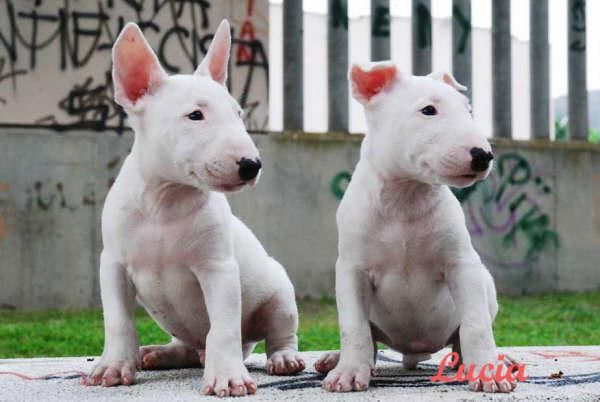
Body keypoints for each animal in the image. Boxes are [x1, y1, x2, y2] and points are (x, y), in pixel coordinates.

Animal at [84, 20, 304, 398]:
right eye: (195, 115)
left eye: (238, 114)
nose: (252, 165)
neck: (165, 201)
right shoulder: (112, 264)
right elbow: (118, 321)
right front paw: (112, 366)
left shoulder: (218, 268)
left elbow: (224, 327)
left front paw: (227, 377)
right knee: (187, 346)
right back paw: (159, 354)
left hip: (279, 293)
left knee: (278, 332)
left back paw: (284, 359)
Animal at [314, 62, 516, 392]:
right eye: (428, 110)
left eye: (468, 110)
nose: (483, 156)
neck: (405, 198)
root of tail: (413, 353)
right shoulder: (351, 270)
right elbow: (354, 328)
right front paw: (348, 373)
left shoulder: (462, 265)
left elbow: (476, 325)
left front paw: (488, 372)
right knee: (370, 339)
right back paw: (335, 359)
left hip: (485, 284)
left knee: (462, 337)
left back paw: (496, 360)